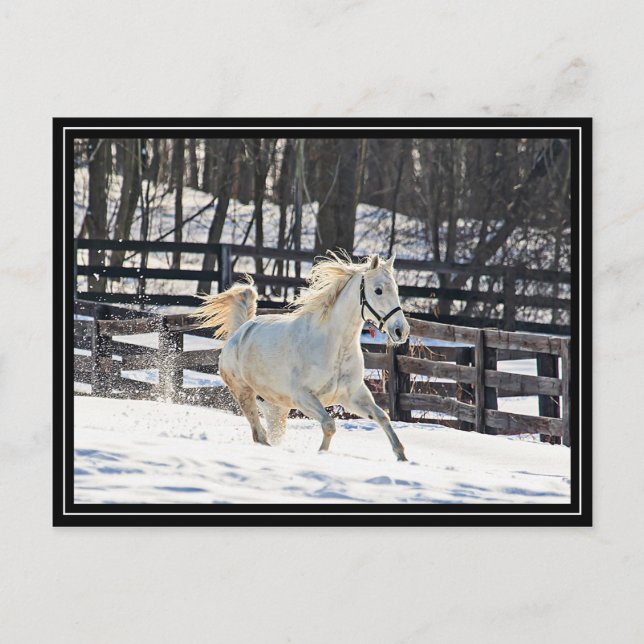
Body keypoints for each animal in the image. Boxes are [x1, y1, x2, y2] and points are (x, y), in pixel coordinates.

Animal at [191, 251, 411, 461]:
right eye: (378, 290)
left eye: (396, 289)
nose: (401, 330)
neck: (335, 346)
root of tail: (239, 332)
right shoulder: (303, 397)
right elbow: (329, 424)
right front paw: (321, 454)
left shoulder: (352, 395)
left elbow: (382, 417)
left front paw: (402, 457)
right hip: (244, 393)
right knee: (259, 434)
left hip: (276, 406)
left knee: (270, 432)